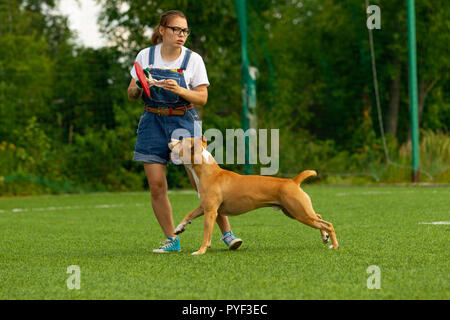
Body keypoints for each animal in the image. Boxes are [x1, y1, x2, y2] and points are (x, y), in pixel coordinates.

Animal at [169, 137, 338, 255]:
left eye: (181, 140)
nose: (170, 140)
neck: (207, 170)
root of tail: (293, 181)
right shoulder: (204, 206)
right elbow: (189, 214)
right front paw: (179, 228)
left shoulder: (210, 211)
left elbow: (206, 233)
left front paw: (200, 251)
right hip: (294, 211)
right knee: (319, 216)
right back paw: (324, 237)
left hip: (299, 213)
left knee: (328, 224)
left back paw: (334, 245)